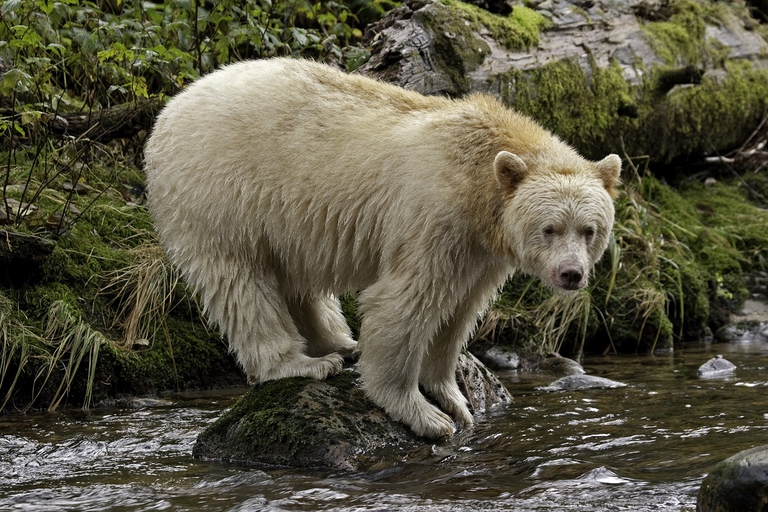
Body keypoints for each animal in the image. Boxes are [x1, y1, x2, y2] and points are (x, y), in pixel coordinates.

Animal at [144, 58, 621, 439]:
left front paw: (454, 398)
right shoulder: (435, 219)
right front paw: (425, 414)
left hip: (283, 218)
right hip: (221, 193)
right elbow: (405, 302)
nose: (572, 274)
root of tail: (170, 108)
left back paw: (339, 342)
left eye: (590, 230)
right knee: (240, 283)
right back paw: (302, 363)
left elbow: (460, 311)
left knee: (294, 279)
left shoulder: (480, 249)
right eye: (549, 229)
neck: (476, 181)